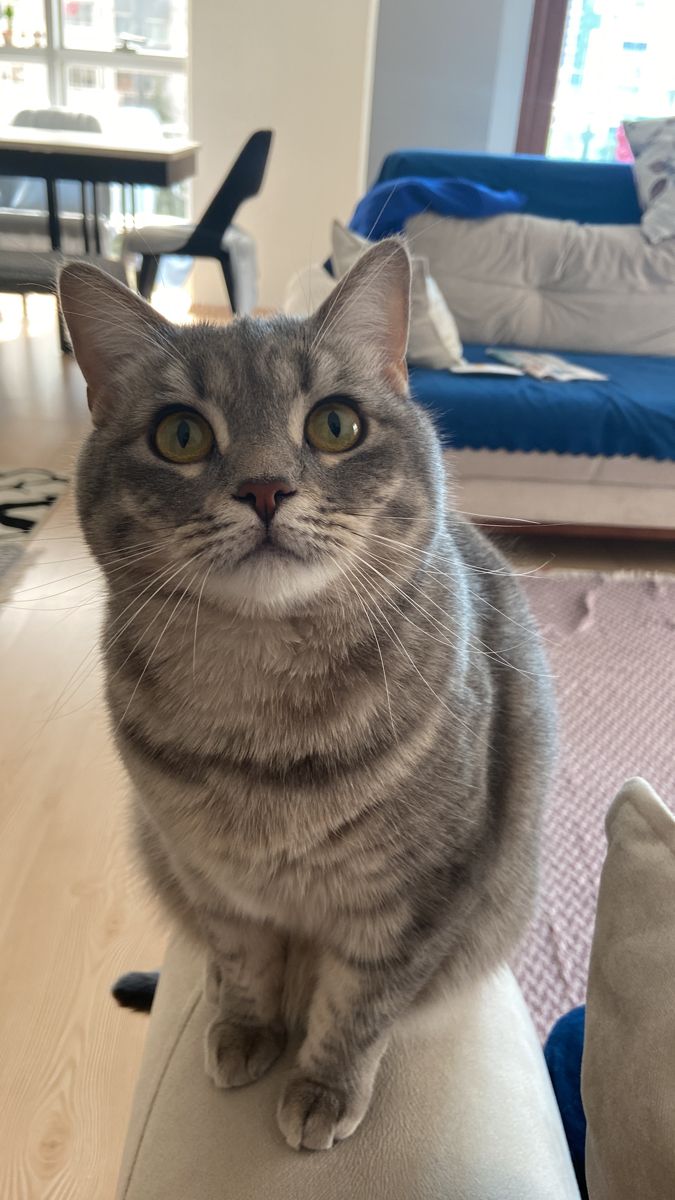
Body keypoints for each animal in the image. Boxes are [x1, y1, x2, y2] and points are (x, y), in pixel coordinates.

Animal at [59, 243, 552, 1152]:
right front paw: (244, 1026)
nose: (263, 489)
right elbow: (240, 963)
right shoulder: (211, 881)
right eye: (180, 434)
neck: (264, 713)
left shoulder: (416, 899)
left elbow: (359, 1004)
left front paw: (323, 1084)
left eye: (334, 425)